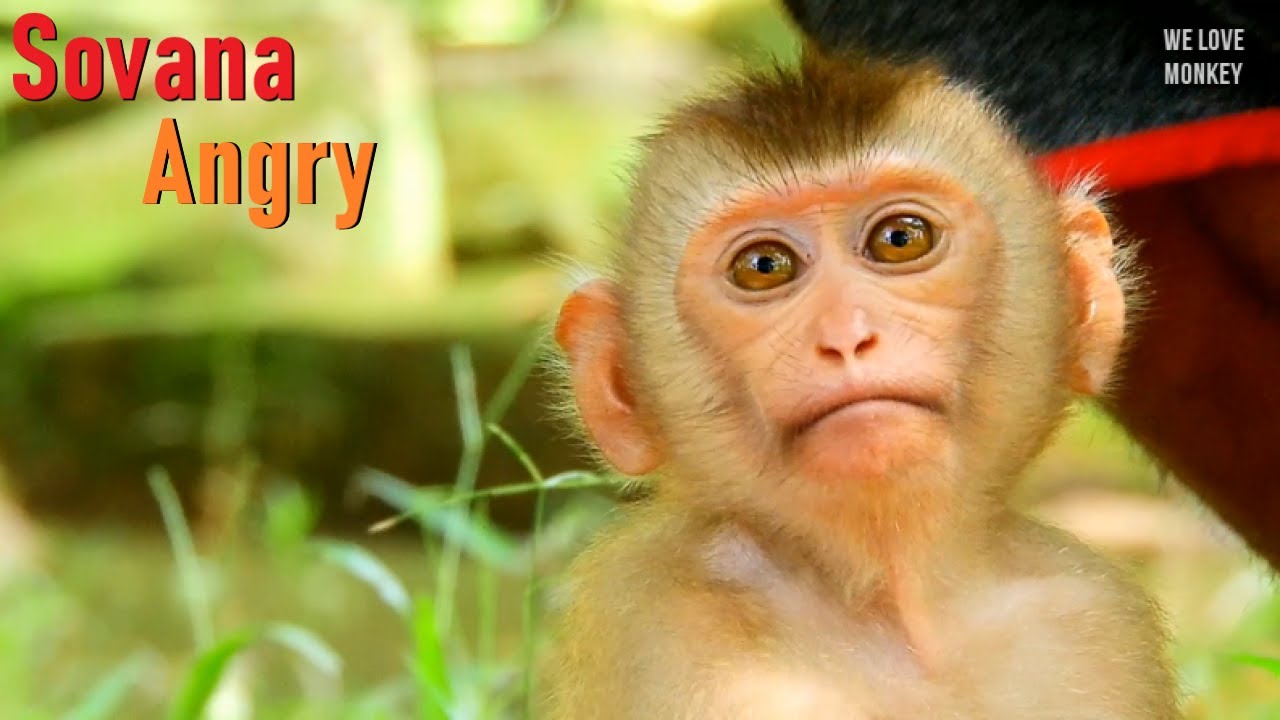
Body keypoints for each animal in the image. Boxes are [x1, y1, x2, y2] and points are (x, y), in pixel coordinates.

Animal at [541, 46, 1181, 719]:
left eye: (900, 239)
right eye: (764, 267)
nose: (846, 336)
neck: (902, 606)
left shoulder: (1095, 612)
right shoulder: (663, 617)